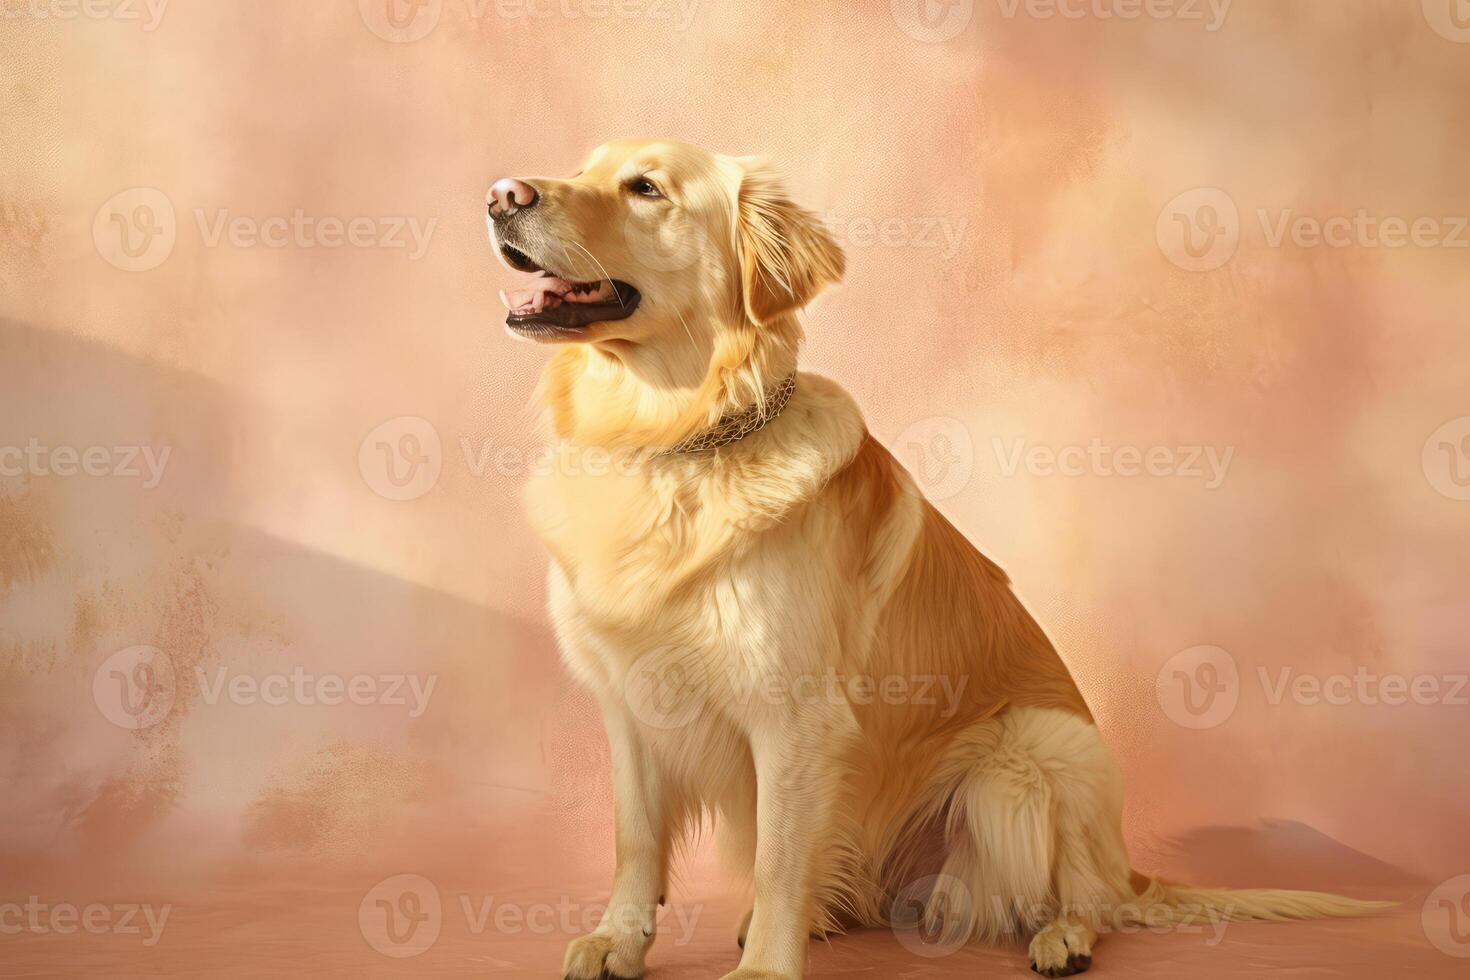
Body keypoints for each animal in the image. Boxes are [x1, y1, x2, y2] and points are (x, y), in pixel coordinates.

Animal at [485, 139, 1387, 980]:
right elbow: (635, 842)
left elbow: (778, 862)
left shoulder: (795, 714)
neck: (669, 440)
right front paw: (619, 941)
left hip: (1031, 754)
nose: (501, 194)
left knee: (1082, 895)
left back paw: (1063, 937)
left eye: (646, 188)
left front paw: (766, 967)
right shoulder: (629, 703)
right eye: (583, 167)